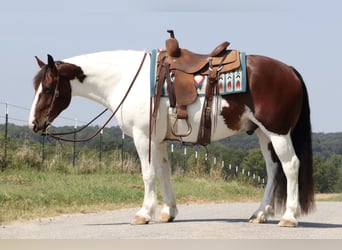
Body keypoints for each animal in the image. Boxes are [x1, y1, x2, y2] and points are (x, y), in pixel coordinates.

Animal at [30, 34, 316, 228]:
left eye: (48, 88)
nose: (34, 124)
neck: (127, 80)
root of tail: (289, 70)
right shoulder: (157, 140)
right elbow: (164, 172)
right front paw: (168, 212)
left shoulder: (142, 136)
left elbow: (147, 174)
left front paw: (144, 214)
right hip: (263, 134)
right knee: (273, 169)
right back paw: (260, 214)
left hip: (278, 132)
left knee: (291, 165)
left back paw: (289, 217)